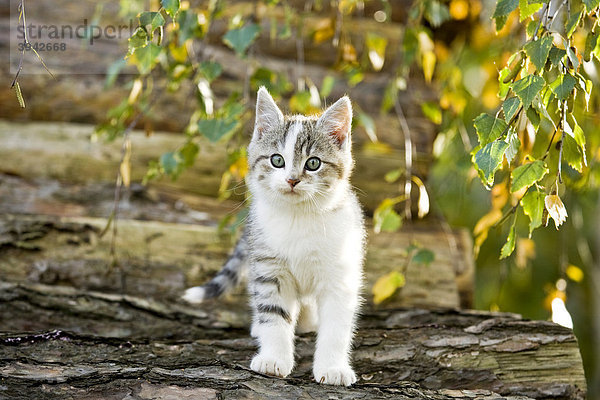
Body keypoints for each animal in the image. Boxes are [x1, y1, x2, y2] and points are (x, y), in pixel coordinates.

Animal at [182, 86, 366, 384]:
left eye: (313, 163)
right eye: (277, 160)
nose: (292, 180)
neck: (298, 216)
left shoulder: (340, 272)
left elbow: (337, 325)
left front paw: (333, 367)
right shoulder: (269, 266)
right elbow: (274, 312)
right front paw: (273, 357)